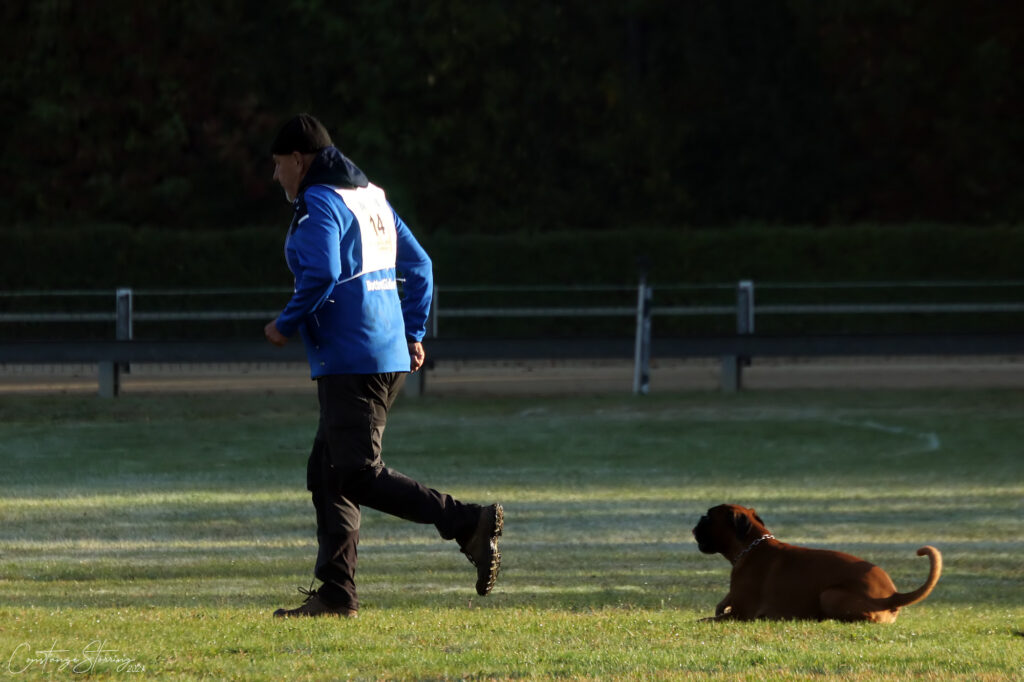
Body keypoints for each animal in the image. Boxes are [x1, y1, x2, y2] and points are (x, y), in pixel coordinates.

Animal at [692, 499, 937, 622]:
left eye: (708, 517)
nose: (695, 526)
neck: (752, 546)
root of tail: (893, 595)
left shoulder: (741, 614)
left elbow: (705, 619)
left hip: (829, 594)